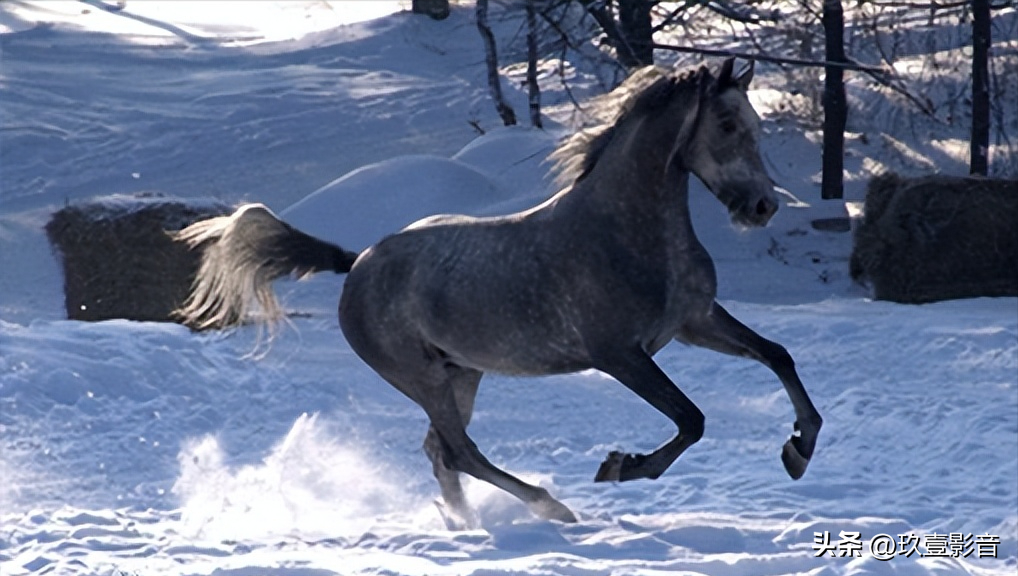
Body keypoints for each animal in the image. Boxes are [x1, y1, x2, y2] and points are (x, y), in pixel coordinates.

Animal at [175, 57, 822, 529]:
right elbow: (692, 419)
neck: (625, 231)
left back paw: (465, 524)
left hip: (461, 372)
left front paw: (799, 450)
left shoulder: (694, 322)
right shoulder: (621, 355)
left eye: (756, 127)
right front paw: (620, 467)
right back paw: (549, 507)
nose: (762, 207)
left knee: (440, 451)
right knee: (460, 450)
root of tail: (357, 262)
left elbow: (778, 356)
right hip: (422, 377)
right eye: (727, 125)